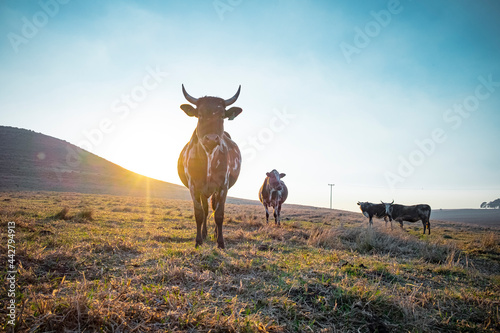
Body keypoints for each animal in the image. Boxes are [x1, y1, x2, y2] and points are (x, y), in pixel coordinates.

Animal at [179, 84, 243, 248]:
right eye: (200, 115)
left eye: (222, 116)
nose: (212, 138)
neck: (208, 156)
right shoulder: (194, 186)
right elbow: (199, 213)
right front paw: (198, 240)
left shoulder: (223, 186)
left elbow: (219, 214)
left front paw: (220, 242)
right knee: (206, 210)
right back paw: (204, 233)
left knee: (213, 209)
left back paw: (214, 233)